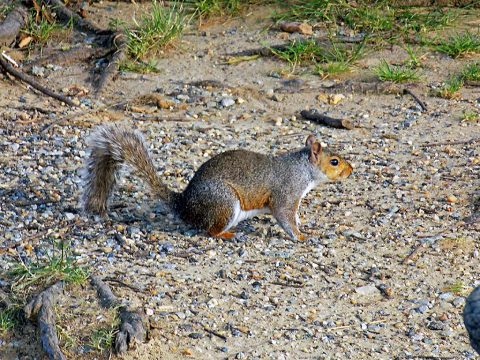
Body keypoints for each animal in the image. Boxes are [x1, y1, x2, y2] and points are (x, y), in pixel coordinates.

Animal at [80, 125, 352, 240]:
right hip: (224, 203)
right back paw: (228, 234)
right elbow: (285, 216)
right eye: (335, 161)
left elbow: (294, 216)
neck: (302, 169)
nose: (351, 170)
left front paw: (304, 228)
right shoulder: (286, 193)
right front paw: (300, 237)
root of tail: (184, 205)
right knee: (210, 230)